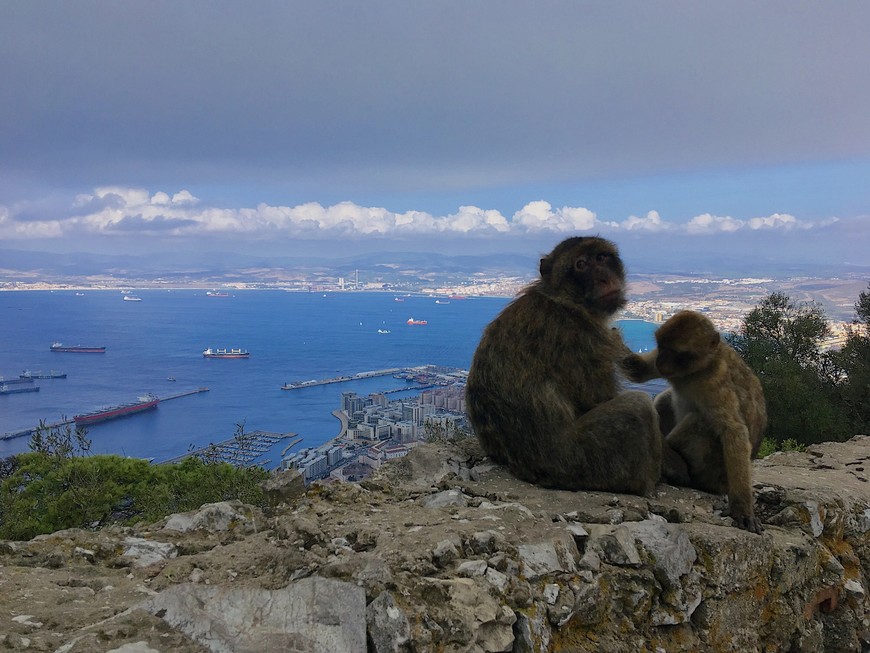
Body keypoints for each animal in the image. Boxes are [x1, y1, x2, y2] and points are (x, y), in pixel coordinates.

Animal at [466, 234, 664, 494]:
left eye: (601, 258)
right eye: (581, 264)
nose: (604, 277)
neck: (566, 301)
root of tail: (526, 470)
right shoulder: (583, 338)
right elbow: (599, 398)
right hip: (581, 462)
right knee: (637, 406)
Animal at [628, 308, 768, 532]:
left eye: (677, 352)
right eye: (661, 346)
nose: (661, 361)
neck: (698, 369)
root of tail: (721, 486)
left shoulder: (715, 382)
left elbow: (734, 431)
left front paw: (742, 509)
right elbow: (639, 371)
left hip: (712, 472)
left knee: (700, 421)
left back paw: (677, 468)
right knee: (666, 399)